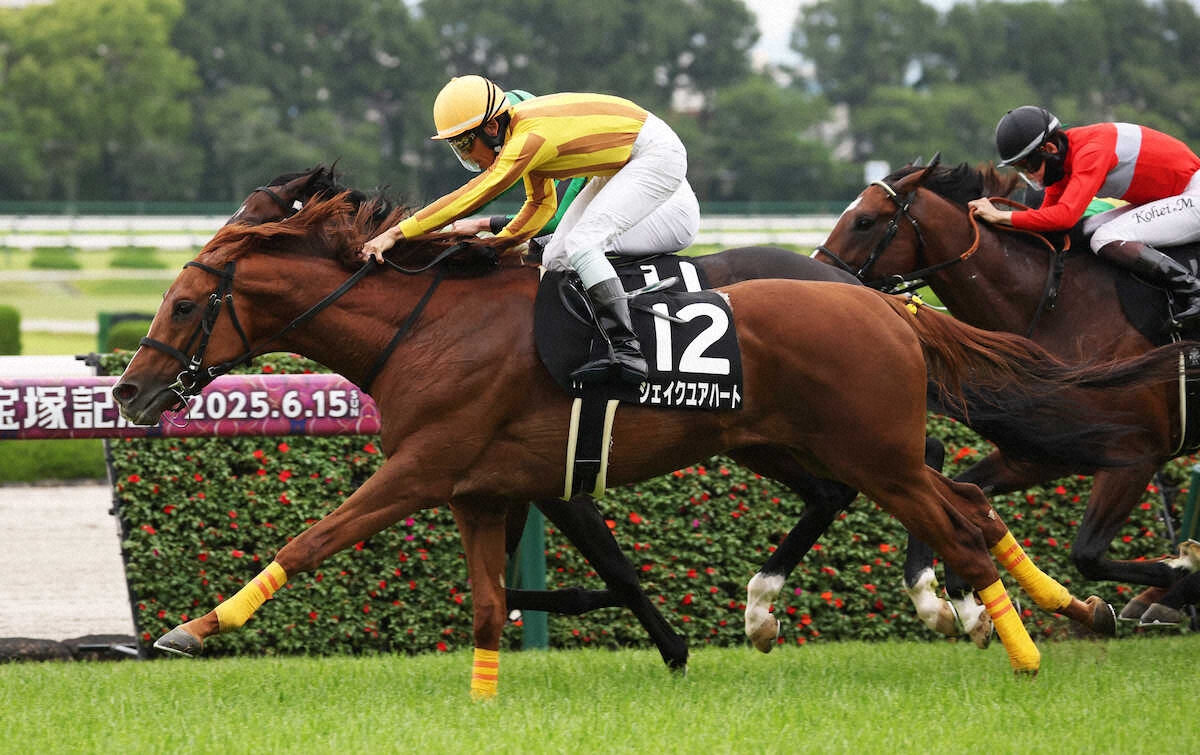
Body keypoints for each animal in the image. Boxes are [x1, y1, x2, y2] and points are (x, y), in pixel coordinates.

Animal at [113, 194, 1190, 695]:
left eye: (184, 304)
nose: (126, 390)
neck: (424, 326)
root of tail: (888, 306)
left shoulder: (422, 467)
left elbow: (311, 540)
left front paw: (191, 627)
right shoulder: (481, 487)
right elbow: (495, 600)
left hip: (873, 453)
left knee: (958, 523)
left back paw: (1026, 640)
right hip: (818, 445)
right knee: (964, 507)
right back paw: (1069, 609)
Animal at [815, 157, 1200, 619]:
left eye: (865, 221)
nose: (820, 275)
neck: (1059, 312)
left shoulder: (1135, 457)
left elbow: (1087, 555)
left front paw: (1178, 572)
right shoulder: (1041, 455)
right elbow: (968, 497)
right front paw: (959, 597)